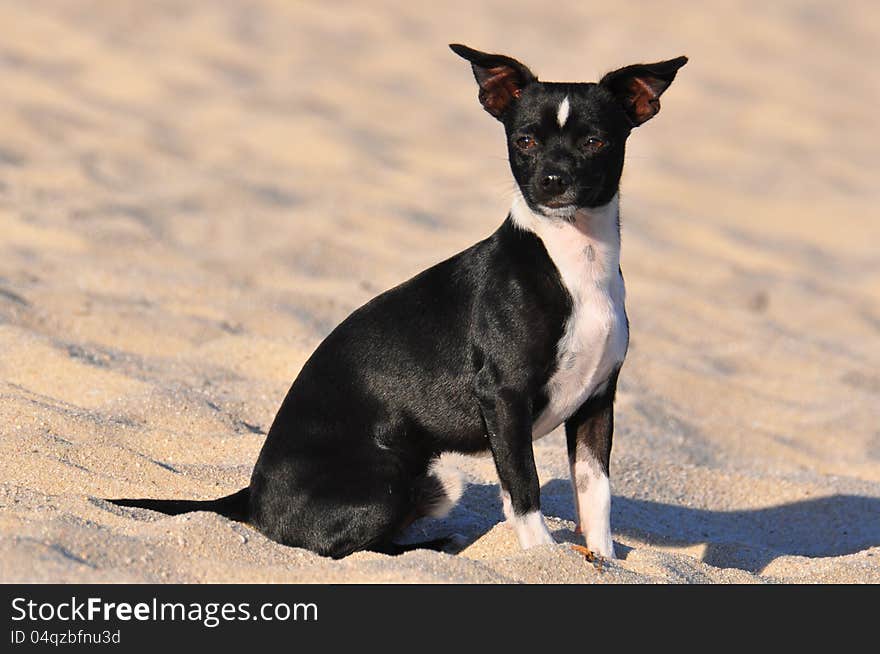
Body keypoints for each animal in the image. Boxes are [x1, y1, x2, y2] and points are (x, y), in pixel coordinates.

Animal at [111, 44, 688, 560]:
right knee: (349, 549)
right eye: (524, 139)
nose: (552, 180)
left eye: (595, 141)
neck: (573, 261)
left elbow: (597, 495)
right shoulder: (504, 398)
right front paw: (543, 556)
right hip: (403, 479)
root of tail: (250, 495)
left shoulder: (596, 403)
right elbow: (524, 489)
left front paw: (602, 559)